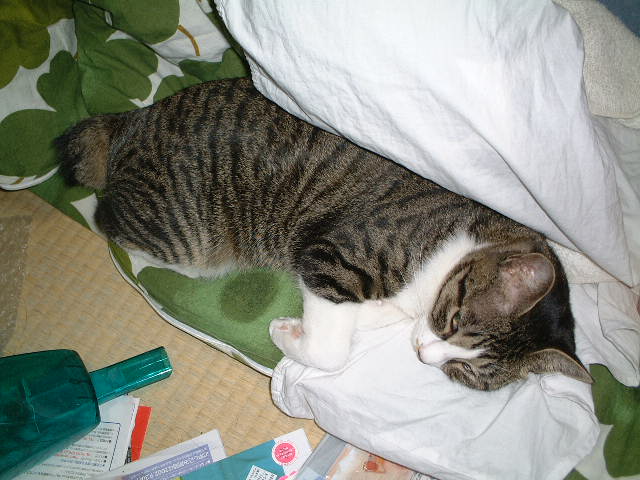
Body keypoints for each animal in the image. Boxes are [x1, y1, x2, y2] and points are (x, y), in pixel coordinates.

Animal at [56, 77, 593, 390]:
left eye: (464, 369)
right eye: (455, 321)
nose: (424, 354)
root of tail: (137, 117)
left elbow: (359, 319)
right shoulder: (334, 254)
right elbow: (329, 352)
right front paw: (289, 333)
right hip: (185, 234)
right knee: (106, 218)